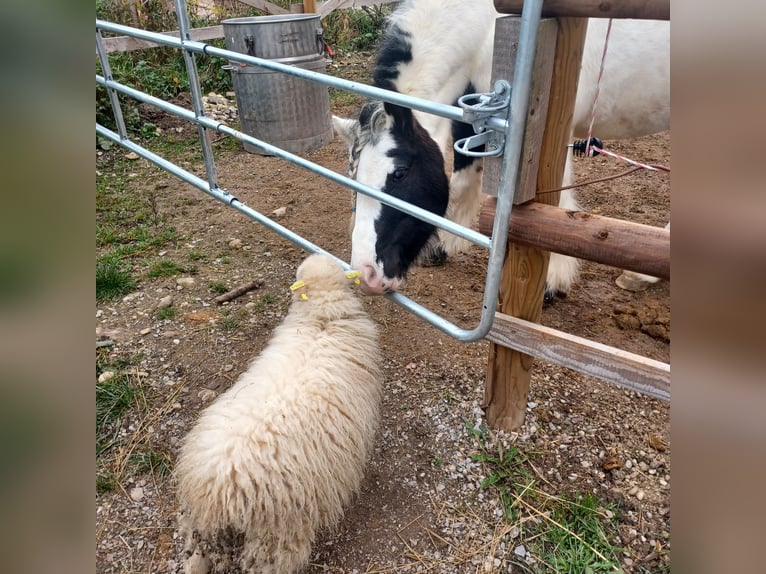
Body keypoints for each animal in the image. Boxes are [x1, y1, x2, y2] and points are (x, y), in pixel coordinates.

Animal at [332, 0, 668, 296]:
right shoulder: (470, 114)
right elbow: (462, 180)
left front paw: (552, 280)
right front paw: (445, 245)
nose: (366, 275)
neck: (486, 28)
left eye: (399, 173)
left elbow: (559, 206)